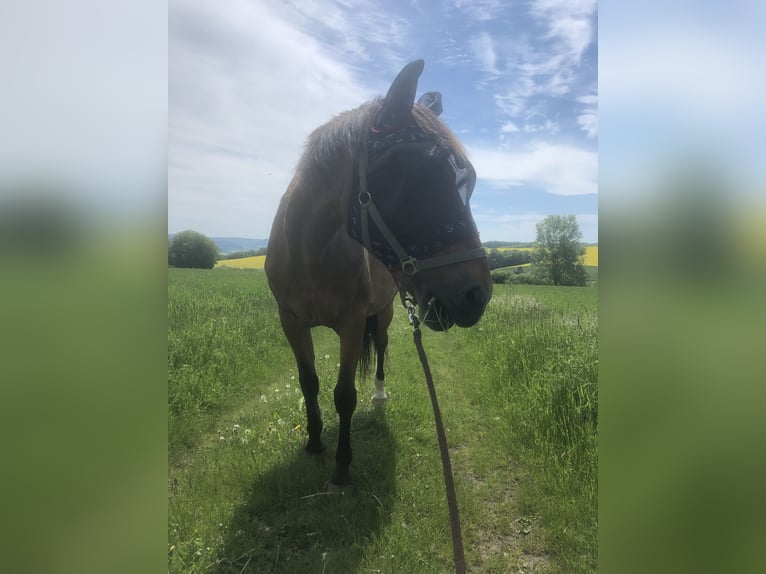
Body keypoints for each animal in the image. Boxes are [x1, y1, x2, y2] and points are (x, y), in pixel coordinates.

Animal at [264, 59, 492, 490]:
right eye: (421, 174)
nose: (477, 295)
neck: (310, 252)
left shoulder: (354, 323)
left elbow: (344, 394)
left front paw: (341, 467)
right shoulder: (290, 321)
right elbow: (309, 382)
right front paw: (315, 443)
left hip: (384, 314)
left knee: (383, 348)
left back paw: (380, 394)